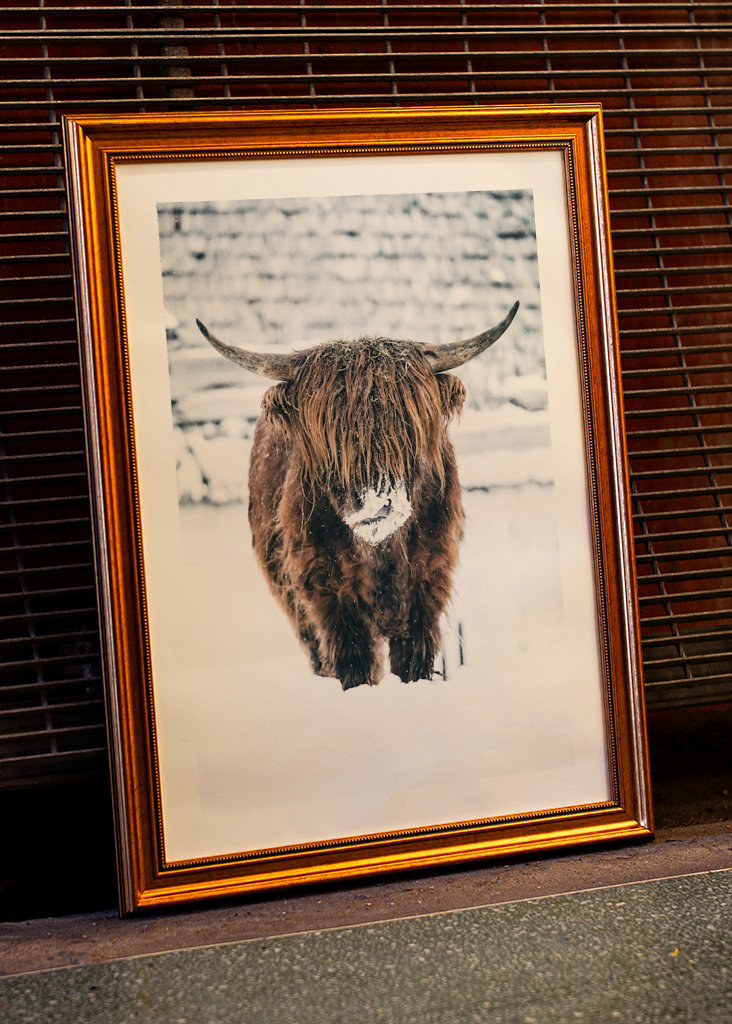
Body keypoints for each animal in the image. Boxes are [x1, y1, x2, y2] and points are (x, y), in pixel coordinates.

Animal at [196, 300, 519, 691]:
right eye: (331, 437)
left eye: (408, 428)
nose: (378, 506)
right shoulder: (327, 594)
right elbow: (354, 663)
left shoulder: (428, 584)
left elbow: (413, 662)